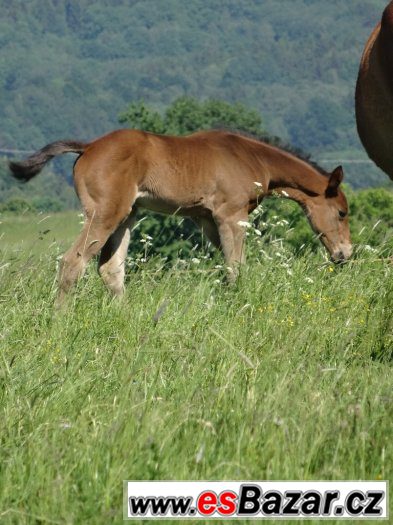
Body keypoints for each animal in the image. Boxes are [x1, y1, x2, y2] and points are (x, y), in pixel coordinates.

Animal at [9, 127, 352, 300]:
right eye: (342, 212)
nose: (345, 254)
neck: (250, 157)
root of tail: (89, 146)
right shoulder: (231, 214)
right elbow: (236, 267)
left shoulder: (206, 219)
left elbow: (227, 265)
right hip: (105, 213)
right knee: (72, 263)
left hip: (127, 215)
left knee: (111, 270)